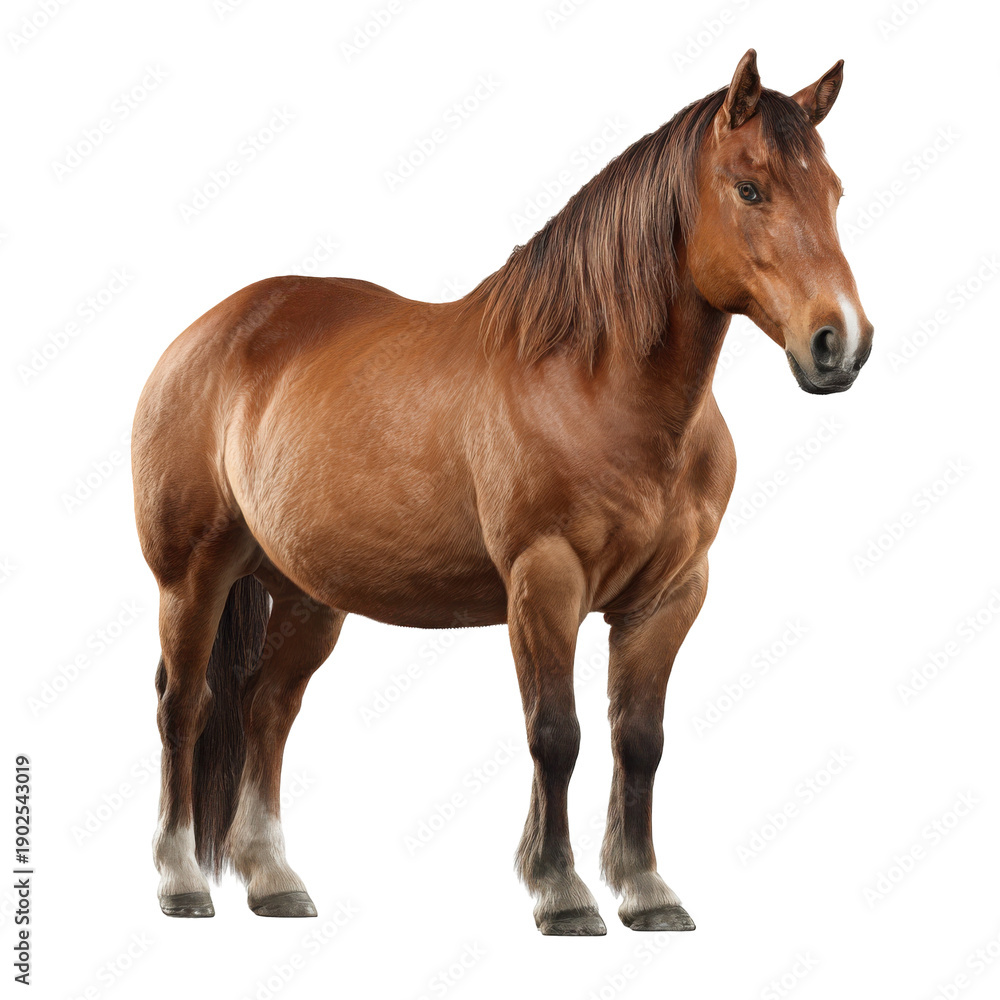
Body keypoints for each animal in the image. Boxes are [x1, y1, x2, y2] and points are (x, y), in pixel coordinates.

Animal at [132, 49, 872, 934]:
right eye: (750, 188)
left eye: (834, 193)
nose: (839, 344)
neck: (594, 382)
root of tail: (210, 333)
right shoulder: (544, 581)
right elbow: (557, 733)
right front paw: (562, 892)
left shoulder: (669, 596)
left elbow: (640, 740)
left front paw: (647, 890)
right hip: (192, 578)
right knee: (185, 705)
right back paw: (180, 881)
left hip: (310, 597)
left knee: (265, 708)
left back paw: (274, 880)